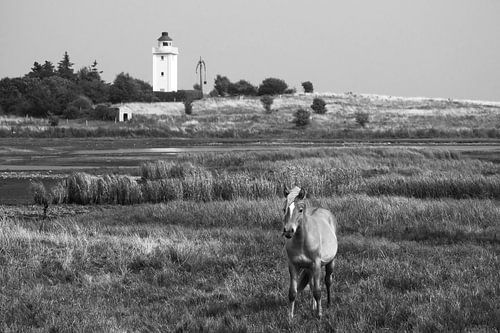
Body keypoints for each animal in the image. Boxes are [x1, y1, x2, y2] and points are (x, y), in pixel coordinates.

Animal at [284, 185, 338, 318]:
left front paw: (319, 315)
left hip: (330, 262)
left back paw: (328, 304)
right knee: (312, 283)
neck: (302, 242)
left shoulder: (316, 264)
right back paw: (313, 307)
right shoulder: (293, 265)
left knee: (328, 281)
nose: (288, 231)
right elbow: (292, 292)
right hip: (309, 269)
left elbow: (318, 292)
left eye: (300, 210)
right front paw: (290, 317)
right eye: (284, 209)